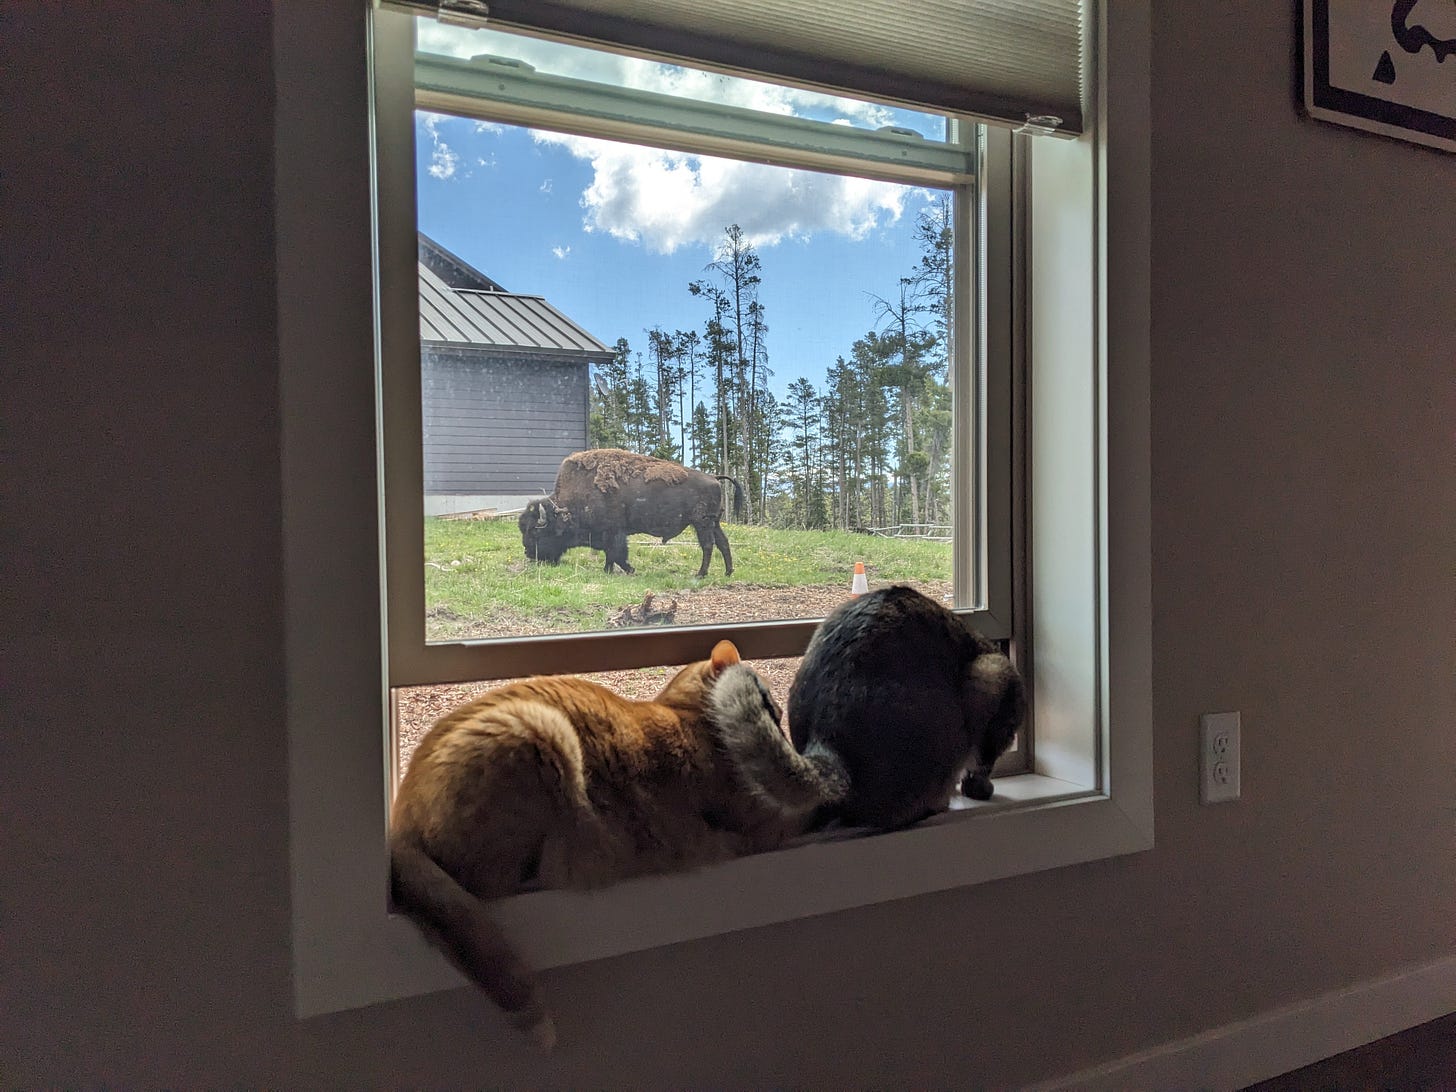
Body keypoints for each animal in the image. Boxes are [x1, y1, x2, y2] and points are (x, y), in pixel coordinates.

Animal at [390, 640, 844, 1054]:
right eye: (774, 712)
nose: (783, 735)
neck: (687, 716)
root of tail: (398, 825)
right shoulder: (768, 821)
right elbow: (811, 809)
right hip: (541, 733)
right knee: (509, 879)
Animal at [518, 445, 745, 576]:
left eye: (536, 532)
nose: (528, 552)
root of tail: (714, 478)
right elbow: (611, 554)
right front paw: (608, 571)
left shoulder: (614, 532)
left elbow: (617, 553)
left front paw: (628, 570)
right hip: (713, 522)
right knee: (723, 543)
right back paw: (728, 572)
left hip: (702, 522)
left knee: (708, 545)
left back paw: (700, 574)